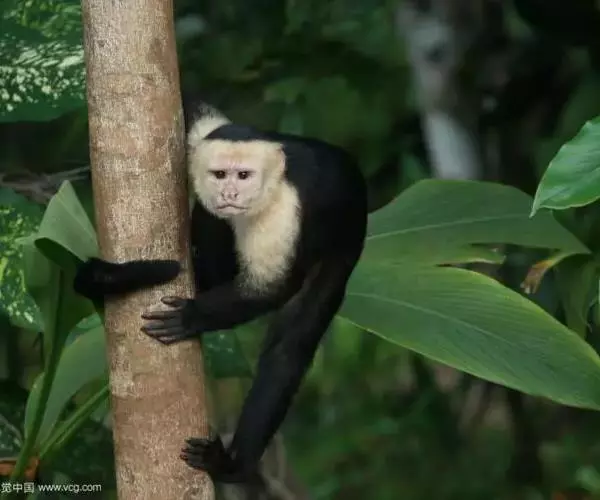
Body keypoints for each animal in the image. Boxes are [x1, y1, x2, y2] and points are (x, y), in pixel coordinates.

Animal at [73, 100, 368, 483]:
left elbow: (270, 289)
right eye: (219, 174)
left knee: (290, 347)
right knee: (211, 218)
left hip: (343, 247)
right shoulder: (206, 134)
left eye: (243, 176)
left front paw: (192, 315)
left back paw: (233, 464)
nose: (229, 194)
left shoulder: (283, 209)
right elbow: (192, 105)